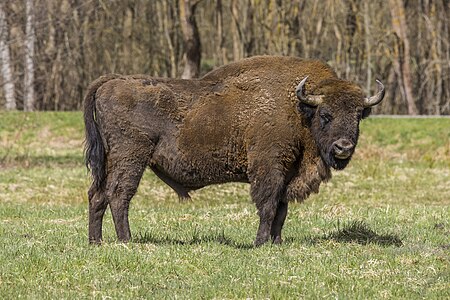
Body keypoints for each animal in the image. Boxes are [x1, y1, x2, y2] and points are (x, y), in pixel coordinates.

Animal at [83, 56, 384, 246]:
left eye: (358, 115)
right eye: (325, 114)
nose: (344, 147)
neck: (298, 108)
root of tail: (112, 82)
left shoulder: (287, 173)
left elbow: (282, 210)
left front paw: (277, 243)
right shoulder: (269, 168)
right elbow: (268, 206)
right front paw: (260, 243)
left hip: (110, 160)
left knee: (98, 195)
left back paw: (96, 242)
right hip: (131, 158)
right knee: (119, 195)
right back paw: (126, 240)